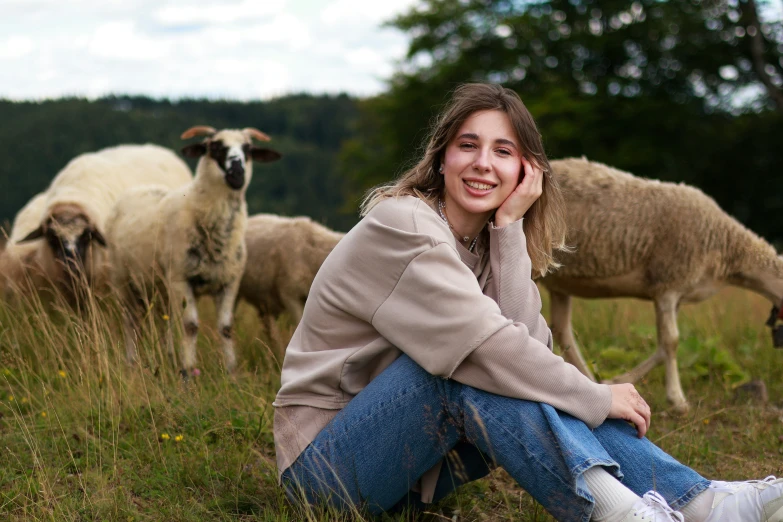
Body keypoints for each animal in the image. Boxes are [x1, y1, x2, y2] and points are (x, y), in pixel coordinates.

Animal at [108, 125, 282, 374]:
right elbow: (190, 326)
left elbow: (226, 328)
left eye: (248, 149)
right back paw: (131, 364)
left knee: (165, 321)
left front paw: (232, 372)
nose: (237, 173)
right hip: (123, 282)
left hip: (160, 287)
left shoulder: (229, 282)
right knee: (130, 322)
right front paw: (188, 373)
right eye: (215, 147)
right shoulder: (182, 279)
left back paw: (167, 358)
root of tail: (139, 188)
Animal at [544, 156, 783, 412]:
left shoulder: (675, 293)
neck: (728, 249)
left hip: (559, 281)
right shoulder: (669, 283)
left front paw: (616, 381)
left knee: (562, 331)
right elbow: (672, 341)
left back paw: (588, 380)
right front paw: (677, 400)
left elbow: (662, 346)